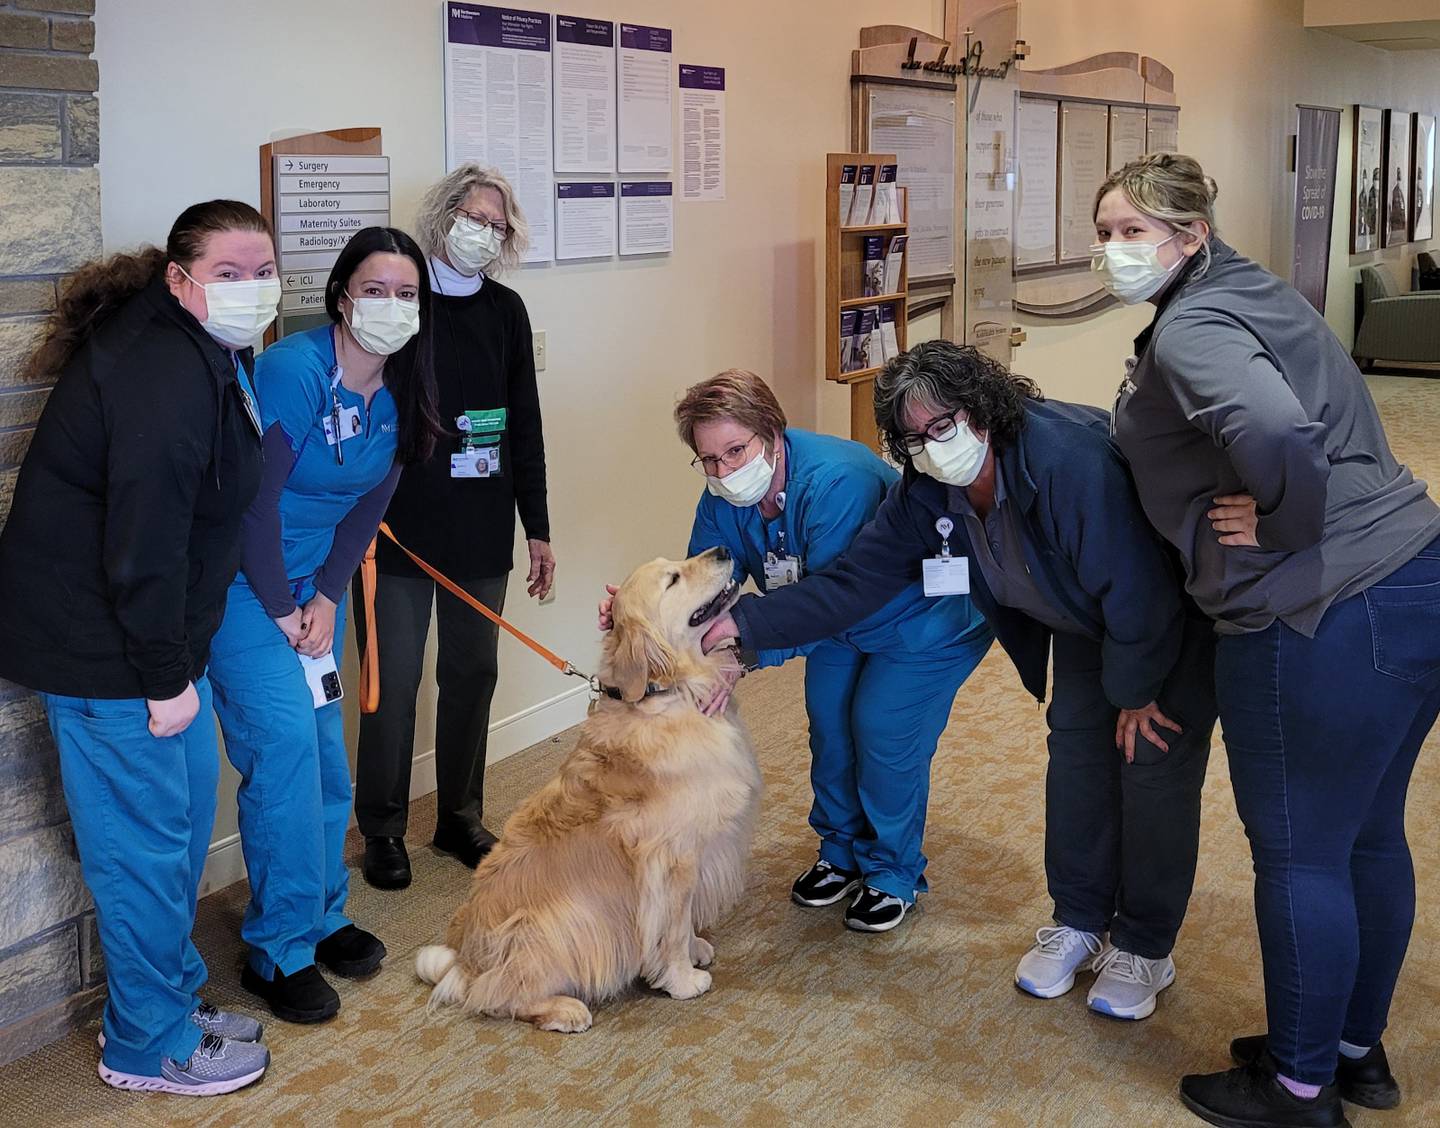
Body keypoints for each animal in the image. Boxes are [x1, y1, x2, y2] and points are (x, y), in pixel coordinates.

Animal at [414, 547, 760, 1031]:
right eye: (673, 579)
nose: (724, 550)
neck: (667, 693)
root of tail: (465, 961)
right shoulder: (671, 861)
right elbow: (671, 929)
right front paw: (682, 978)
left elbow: (684, 919)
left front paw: (695, 950)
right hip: (563, 924)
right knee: (494, 995)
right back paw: (565, 1009)